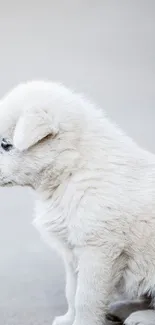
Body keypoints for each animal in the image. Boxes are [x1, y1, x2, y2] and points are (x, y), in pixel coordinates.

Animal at [0, 80, 155, 324]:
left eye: (5, 145)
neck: (72, 170)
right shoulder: (72, 253)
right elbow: (72, 292)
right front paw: (68, 319)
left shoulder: (98, 252)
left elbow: (86, 298)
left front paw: (82, 321)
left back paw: (142, 317)